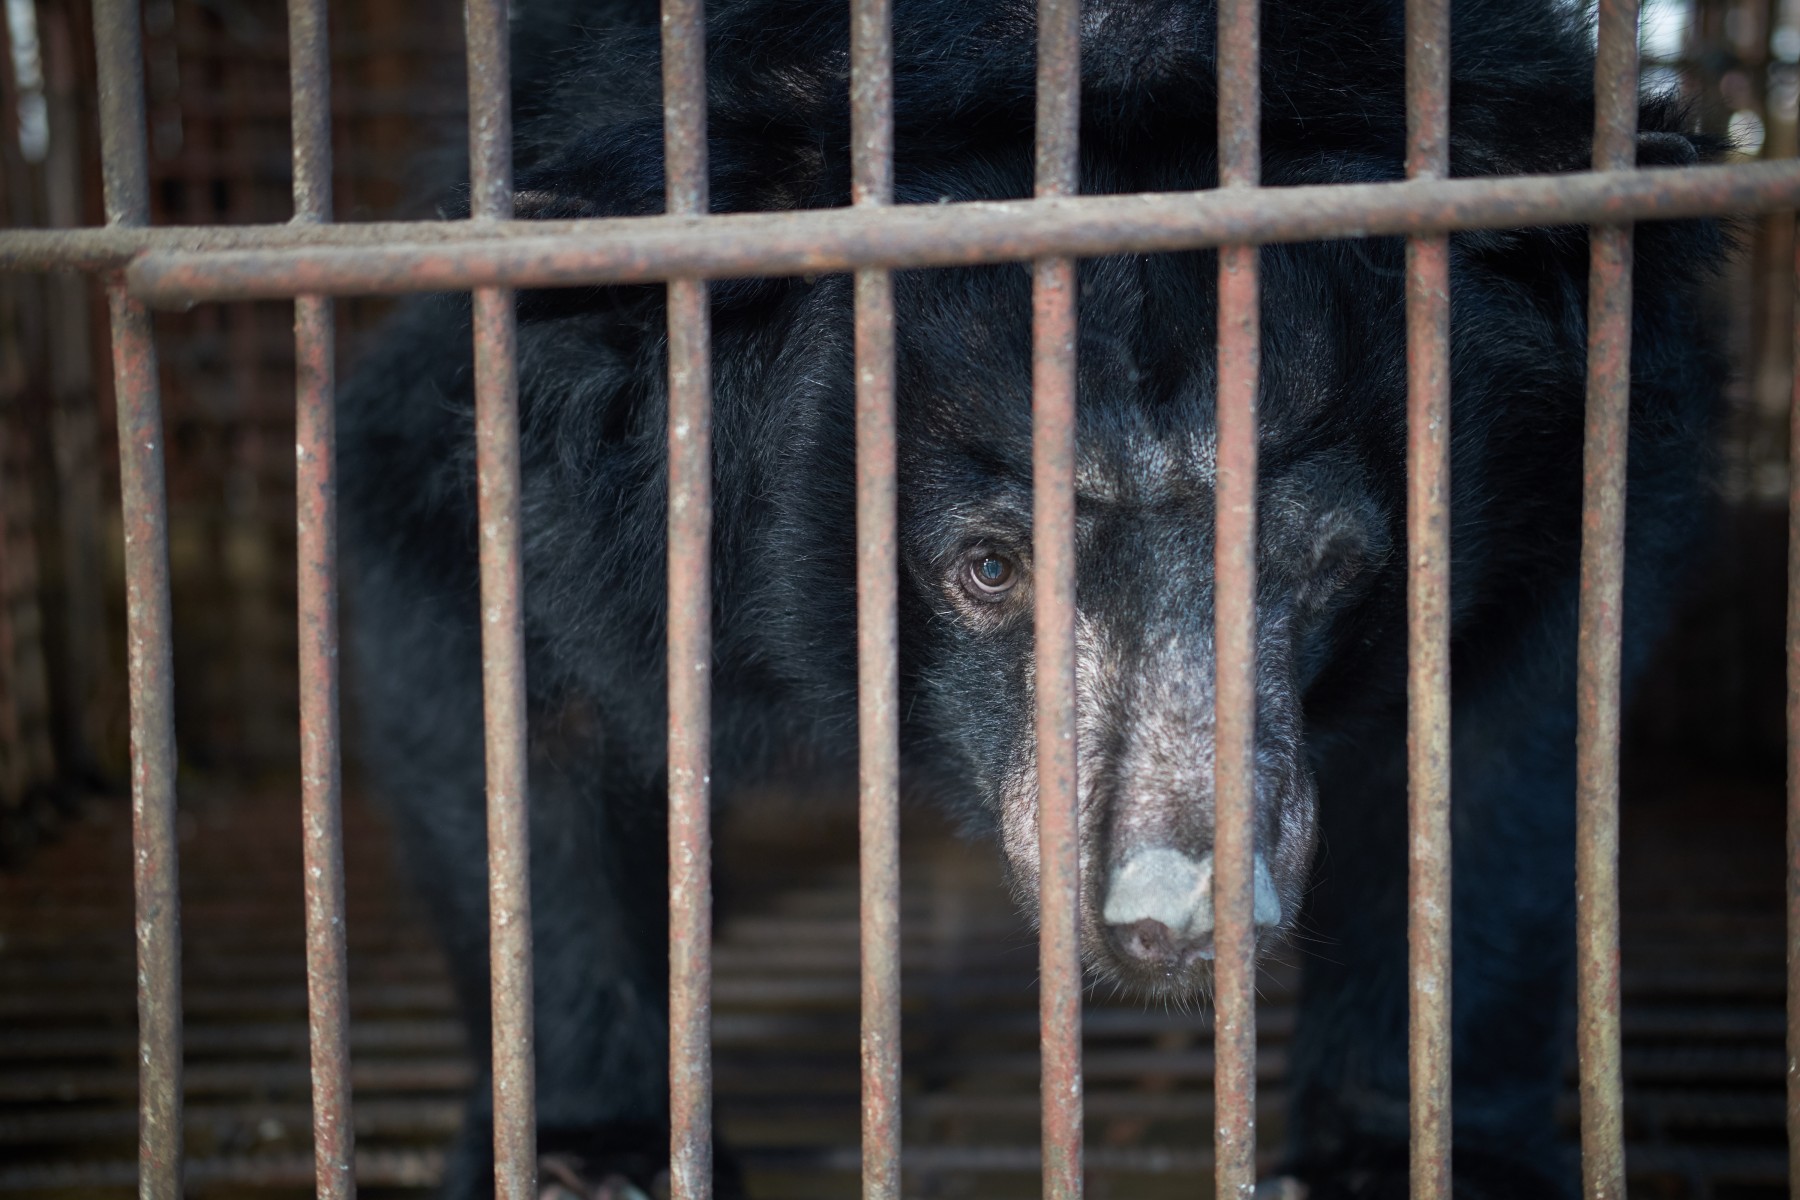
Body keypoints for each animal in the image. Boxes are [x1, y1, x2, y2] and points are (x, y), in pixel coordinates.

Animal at [338, 0, 1728, 1194]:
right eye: (991, 567)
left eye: (1328, 564)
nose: (1180, 918)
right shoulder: (552, 437)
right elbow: (488, 655)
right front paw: (597, 1157)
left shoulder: (1575, 459)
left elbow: (1504, 752)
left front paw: (1400, 1158)